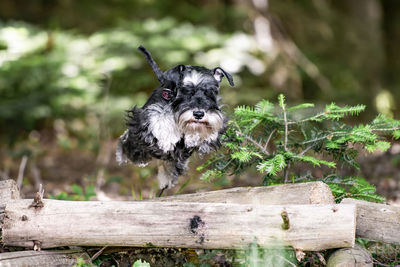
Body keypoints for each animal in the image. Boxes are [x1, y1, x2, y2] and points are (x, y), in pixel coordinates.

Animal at [115, 46, 234, 196]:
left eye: (210, 92)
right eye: (185, 90)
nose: (199, 114)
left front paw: (200, 135)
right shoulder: (146, 116)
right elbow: (160, 118)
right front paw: (168, 137)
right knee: (127, 142)